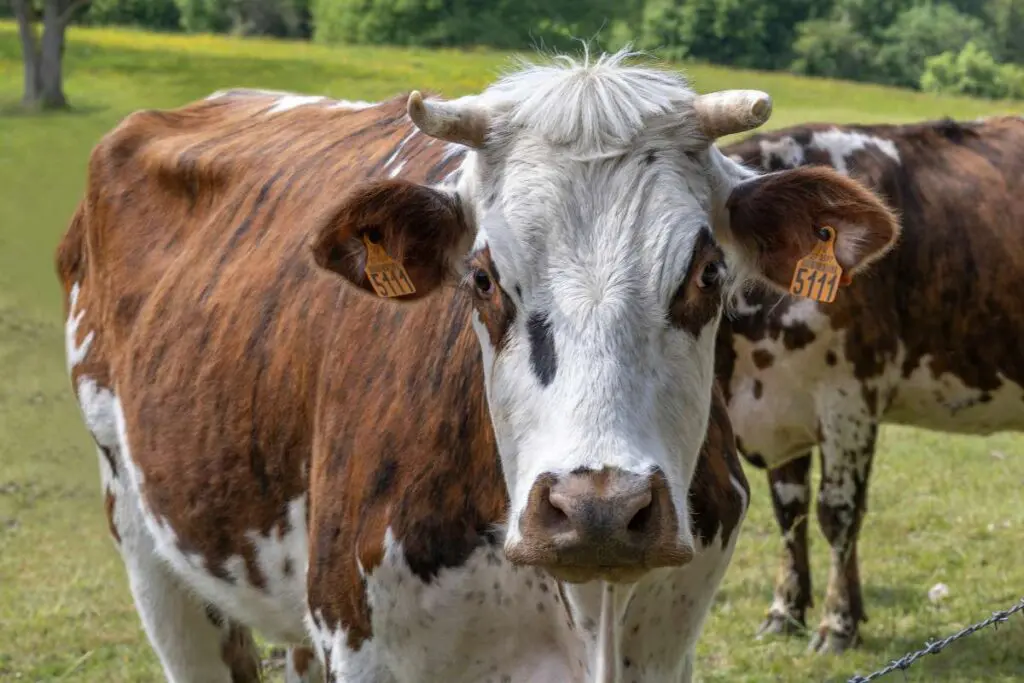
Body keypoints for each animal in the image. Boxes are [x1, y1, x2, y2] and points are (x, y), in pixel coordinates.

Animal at [57, 51, 899, 682]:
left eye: (709, 272)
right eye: (483, 277)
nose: (597, 509)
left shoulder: (663, 651)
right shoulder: (364, 645)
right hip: (147, 542)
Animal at [717, 115, 1024, 653]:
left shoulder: (849, 399)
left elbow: (837, 512)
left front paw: (838, 623)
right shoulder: (781, 405)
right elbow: (789, 512)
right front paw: (785, 611)